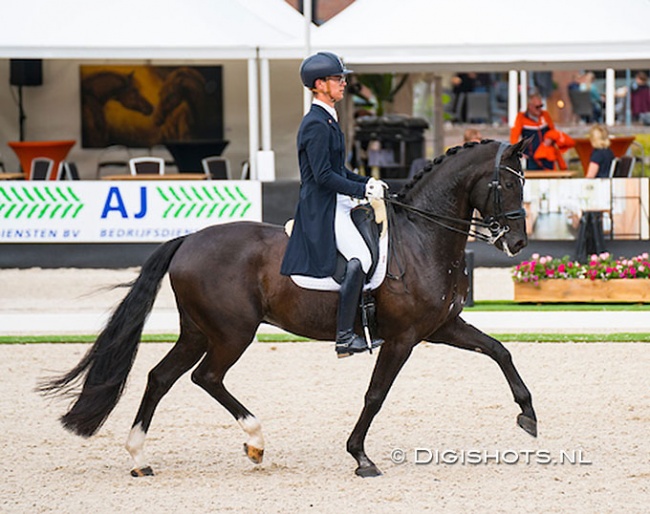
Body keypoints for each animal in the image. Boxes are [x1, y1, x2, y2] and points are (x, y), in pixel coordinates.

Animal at [41, 137, 536, 476]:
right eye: (507, 185)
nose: (516, 243)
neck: (422, 237)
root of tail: (189, 239)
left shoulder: (440, 326)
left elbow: (500, 350)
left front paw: (528, 416)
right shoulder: (403, 338)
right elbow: (375, 395)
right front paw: (360, 456)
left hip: (199, 330)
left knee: (161, 377)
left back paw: (141, 457)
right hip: (233, 332)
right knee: (206, 377)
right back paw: (254, 440)